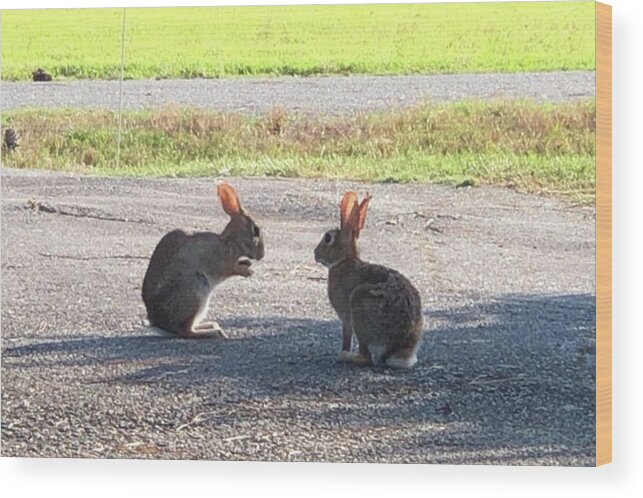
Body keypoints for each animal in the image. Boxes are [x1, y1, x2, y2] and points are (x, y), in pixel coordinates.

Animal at [143, 182, 264, 338]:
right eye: (256, 230)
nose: (262, 255)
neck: (230, 242)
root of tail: (160, 325)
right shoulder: (224, 263)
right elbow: (233, 269)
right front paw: (248, 272)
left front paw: (248, 265)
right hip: (195, 292)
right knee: (186, 331)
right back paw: (215, 332)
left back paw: (212, 325)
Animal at [314, 191, 426, 366]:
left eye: (327, 238)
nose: (315, 253)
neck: (344, 260)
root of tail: (398, 348)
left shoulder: (346, 315)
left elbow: (346, 334)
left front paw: (342, 351)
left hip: (360, 303)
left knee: (365, 357)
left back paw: (346, 356)